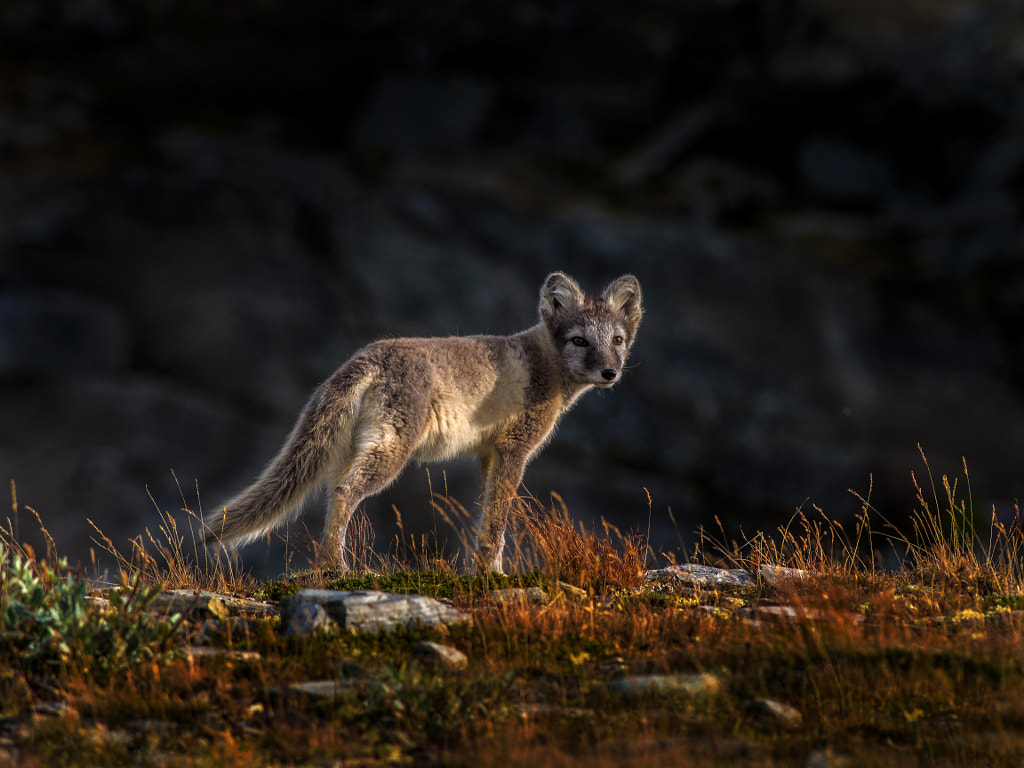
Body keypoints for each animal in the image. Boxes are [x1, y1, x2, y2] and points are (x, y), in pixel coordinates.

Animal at [203, 274, 643, 573]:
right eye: (579, 341)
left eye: (617, 341)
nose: (609, 372)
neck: (546, 362)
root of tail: (366, 357)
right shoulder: (514, 449)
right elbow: (499, 519)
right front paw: (494, 574)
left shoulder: (487, 454)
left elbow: (486, 517)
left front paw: (484, 569)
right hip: (391, 451)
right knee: (346, 492)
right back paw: (338, 569)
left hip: (352, 451)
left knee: (332, 496)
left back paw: (328, 564)